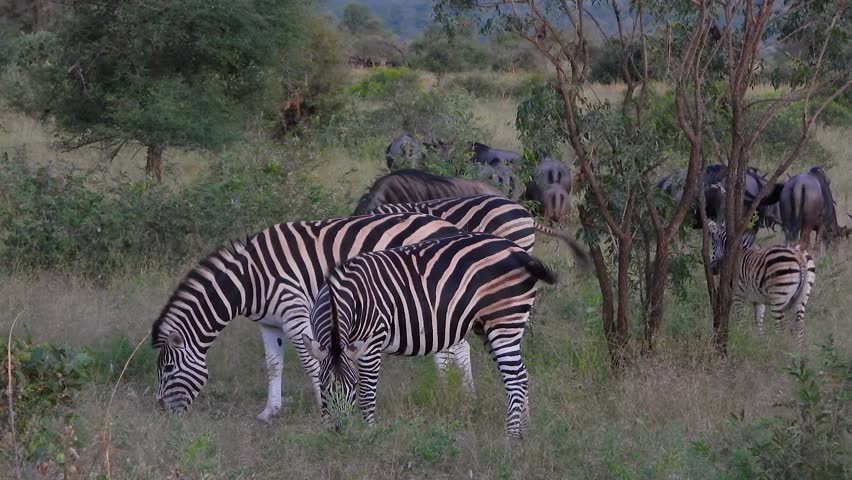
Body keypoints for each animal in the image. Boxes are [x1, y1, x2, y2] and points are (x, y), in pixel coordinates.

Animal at [150, 213, 467, 422]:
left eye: (167, 369)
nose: (162, 411)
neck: (249, 279)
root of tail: (449, 225)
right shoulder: (269, 323)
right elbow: (273, 364)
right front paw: (269, 412)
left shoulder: (294, 312)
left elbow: (311, 363)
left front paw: (324, 406)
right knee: (456, 346)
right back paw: (460, 393)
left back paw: (454, 393)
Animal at [302, 232, 558, 439]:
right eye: (324, 386)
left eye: (353, 384)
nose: (340, 430)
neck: (340, 301)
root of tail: (519, 252)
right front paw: (326, 431)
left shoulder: (371, 344)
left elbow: (366, 395)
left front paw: (370, 433)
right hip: (486, 326)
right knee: (521, 374)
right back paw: (525, 430)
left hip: (505, 320)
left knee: (514, 378)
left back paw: (512, 437)